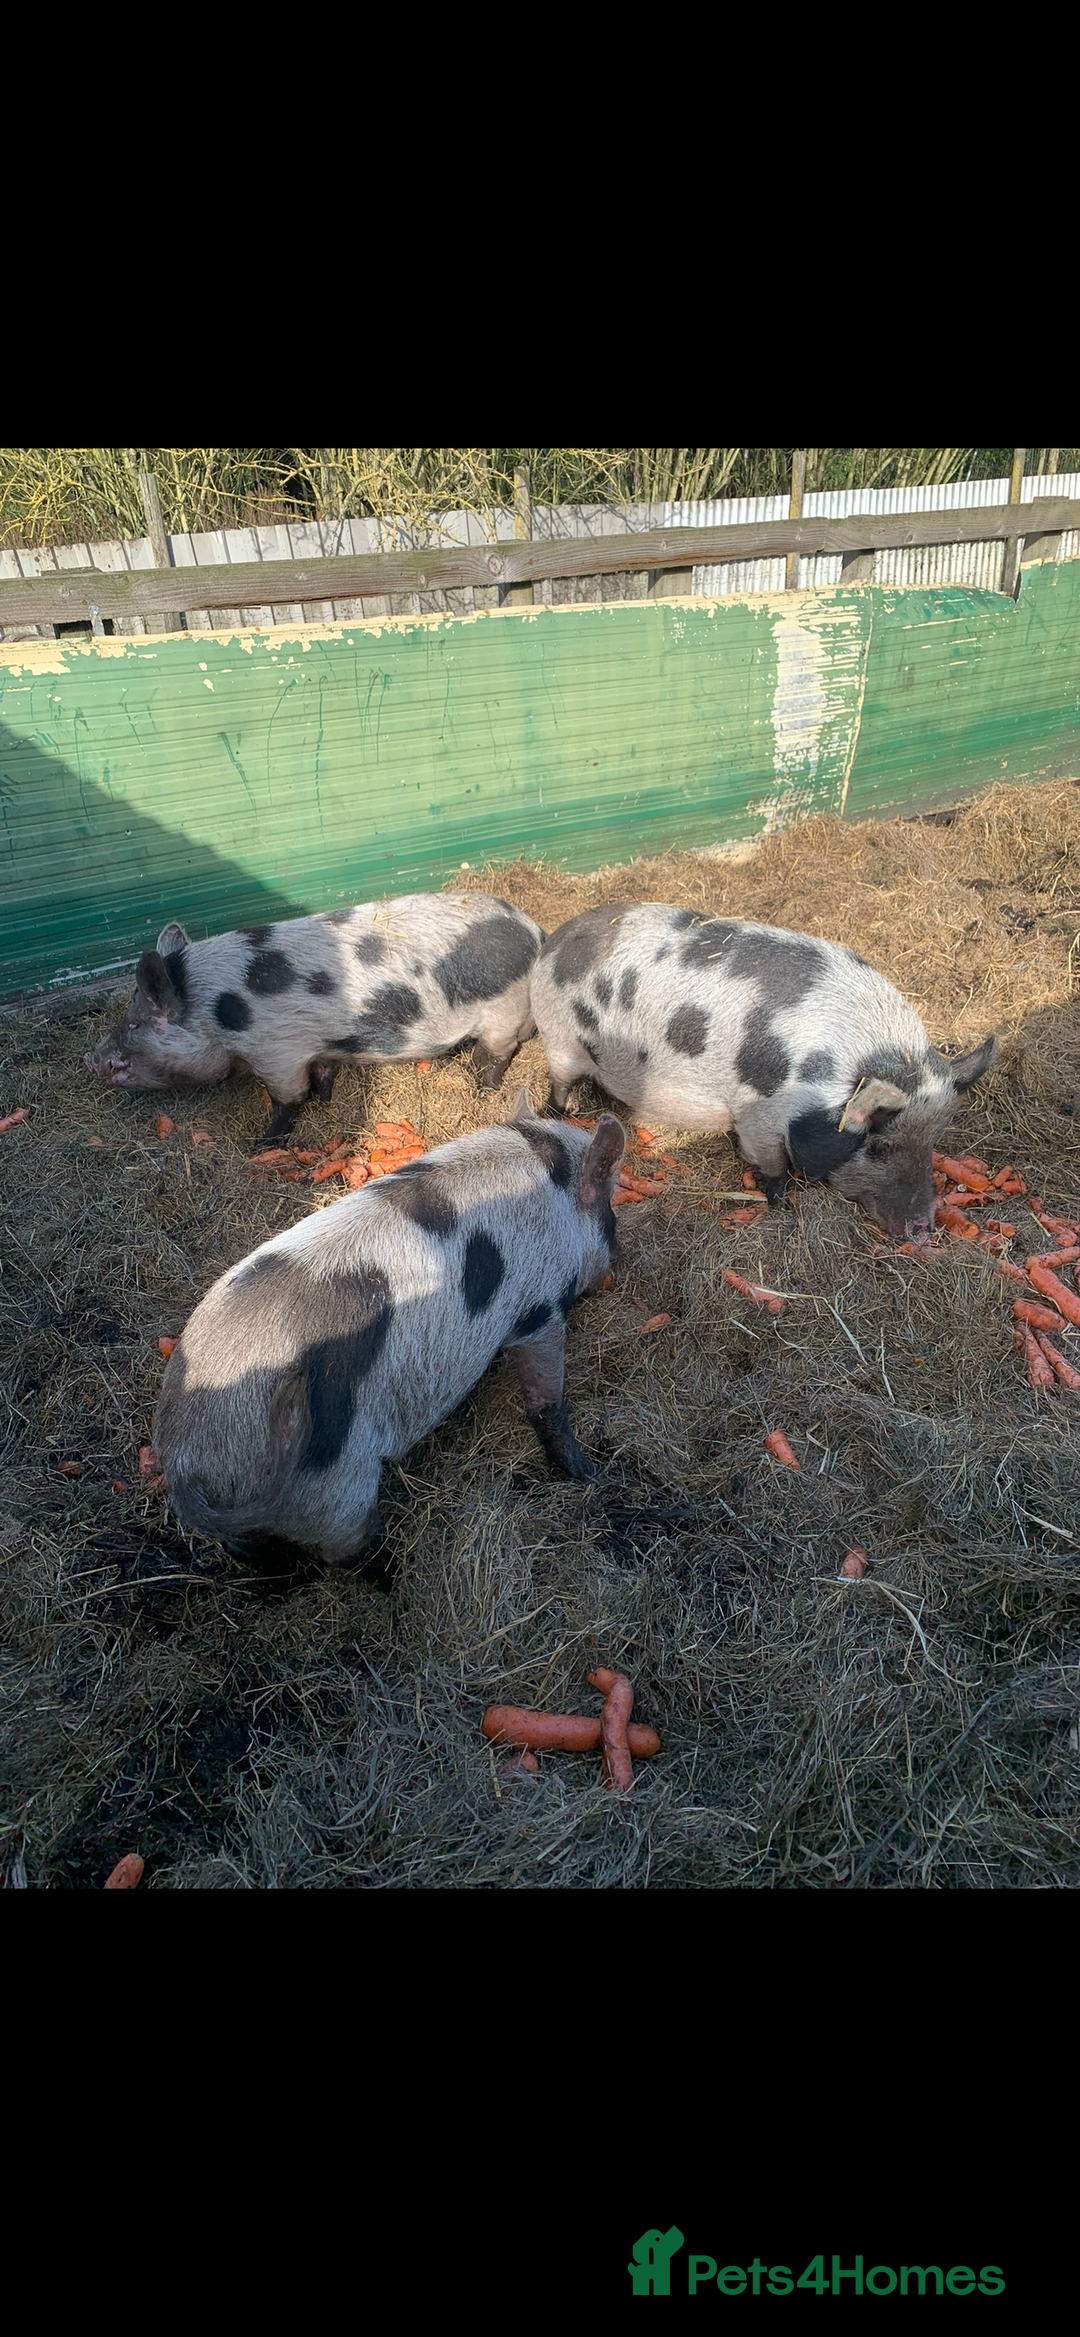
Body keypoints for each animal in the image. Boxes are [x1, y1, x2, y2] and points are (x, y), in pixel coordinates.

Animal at [84, 892, 544, 1144]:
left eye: (136, 1024)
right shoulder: (314, 1046)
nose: (90, 1059)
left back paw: (480, 1088)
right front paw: (325, 1100)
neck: (215, 1012)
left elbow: (289, 1099)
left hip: (503, 1012)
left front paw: (261, 1146)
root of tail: (534, 931)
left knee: (498, 1055)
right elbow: (323, 1073)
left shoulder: (276, 1052)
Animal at [153, 1095, 626, 1569]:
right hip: (335, 1486)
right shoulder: (541, 1304)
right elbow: (546, 1396)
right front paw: (586, 1472)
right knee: (349, 1548)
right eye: (610, 1214)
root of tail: (185, 1457)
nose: (617, 1258)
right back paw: (394, 1571)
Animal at [530, 904, 998, 1244]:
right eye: (879, 1147)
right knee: (559, 1084)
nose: (923, 1232)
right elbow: (773, 1167)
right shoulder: (758, 1114)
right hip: (560, 1040)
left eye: (934, 1142)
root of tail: (556, 939)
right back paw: (559, 1112)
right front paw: (782, 1207)